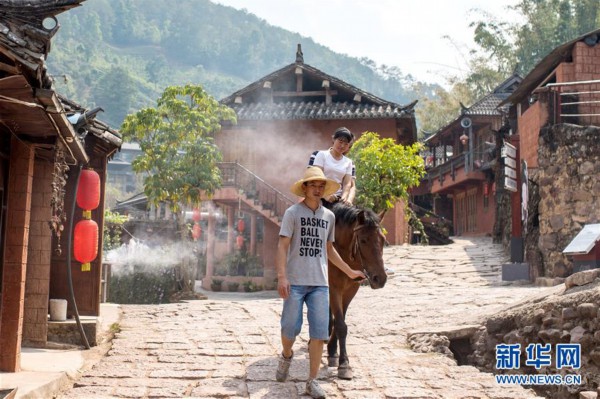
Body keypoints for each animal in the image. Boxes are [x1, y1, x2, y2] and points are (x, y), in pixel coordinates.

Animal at [326, 203, 386, 382]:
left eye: (383, 240)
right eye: (363, 240)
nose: (380, 278)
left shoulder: (351, 290)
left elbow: (341, 320)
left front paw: (334, 353)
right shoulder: (334, 288)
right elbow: (341, 325)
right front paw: (344, 365)